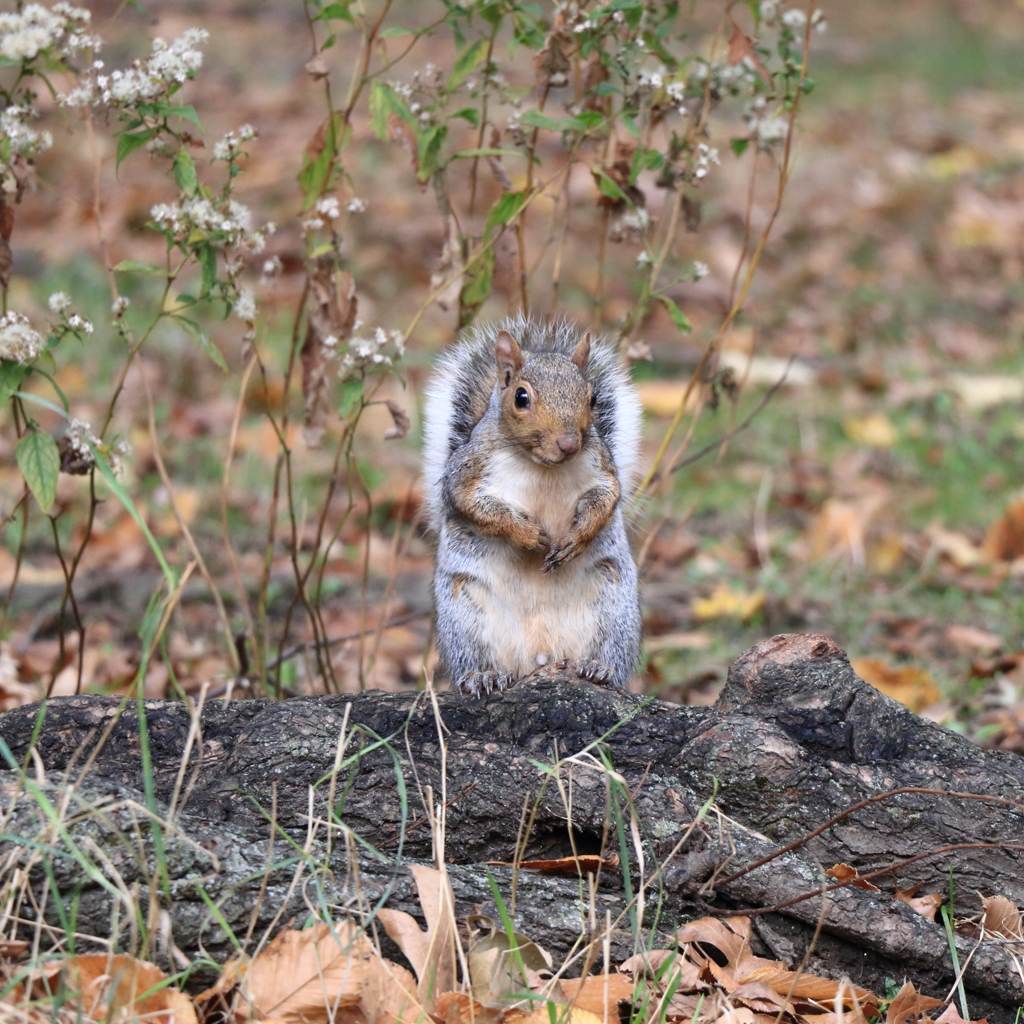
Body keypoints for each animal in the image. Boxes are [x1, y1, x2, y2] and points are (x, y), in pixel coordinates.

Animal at [421, 311, 638, 696]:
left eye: (593, 398)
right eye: (521, 397)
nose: (569, 444)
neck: (542, 466)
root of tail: (540, 657)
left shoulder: (602, 469)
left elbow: (607, 498)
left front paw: (577, 538)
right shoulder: (465, 471)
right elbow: (471, 504)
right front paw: (527, 535)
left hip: (614, 606)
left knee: (610, 650)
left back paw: (600, 668)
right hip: (463, 613)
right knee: (473, 657)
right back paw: (484, 675)